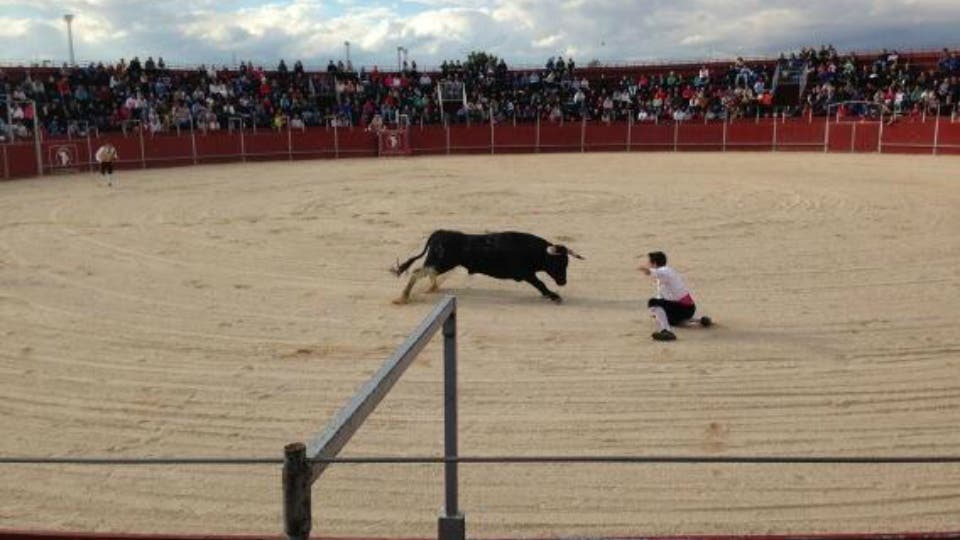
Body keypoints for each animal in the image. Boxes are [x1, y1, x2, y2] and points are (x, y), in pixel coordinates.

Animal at [390, 229, 584, 304]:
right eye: (558, 263)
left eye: (567, 263)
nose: (563, 282)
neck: (533, 250)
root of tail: (439, 233)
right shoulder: (526, 274)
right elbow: (541, 284)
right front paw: (554, 296)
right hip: (442, 263)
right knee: (417, 272)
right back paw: (403, 297)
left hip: (440, 263)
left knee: (426, 272)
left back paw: (431, 289)